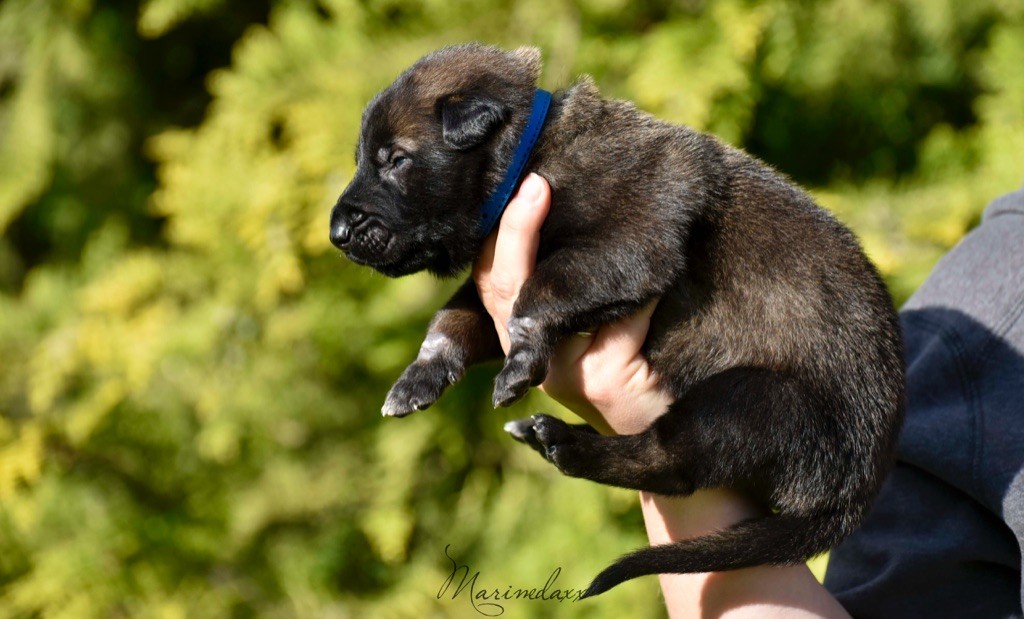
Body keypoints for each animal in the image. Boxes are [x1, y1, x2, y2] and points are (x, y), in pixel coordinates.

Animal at [329, 44, 905, 599]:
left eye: (395, 159)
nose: (336, 232)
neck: (534, 153)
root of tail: (857, 491)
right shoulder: (494, 278)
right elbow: (456, 318)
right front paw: (418, 378)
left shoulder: (630, 242)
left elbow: (535, 296)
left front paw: (520, 362)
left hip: (751, 399)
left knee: (670, 464)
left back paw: (566, 443)